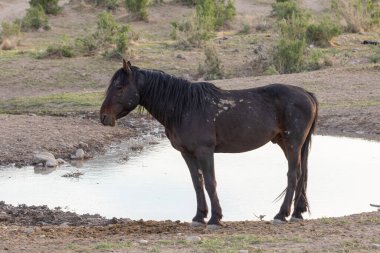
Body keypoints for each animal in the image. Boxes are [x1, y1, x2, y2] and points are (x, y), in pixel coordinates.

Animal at [100, 59, 318, 227]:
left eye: (119, 88)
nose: (103, 117)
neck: (184, 107)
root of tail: (307, 94)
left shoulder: (205, 152)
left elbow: (210, 182)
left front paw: (215, 218)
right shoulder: (187, 153)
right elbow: (197, 183)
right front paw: (199, 216)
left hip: (292, 143)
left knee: (293, 175)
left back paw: (281, 215)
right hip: (285, 143)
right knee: (301, 174)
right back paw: (297, 213)